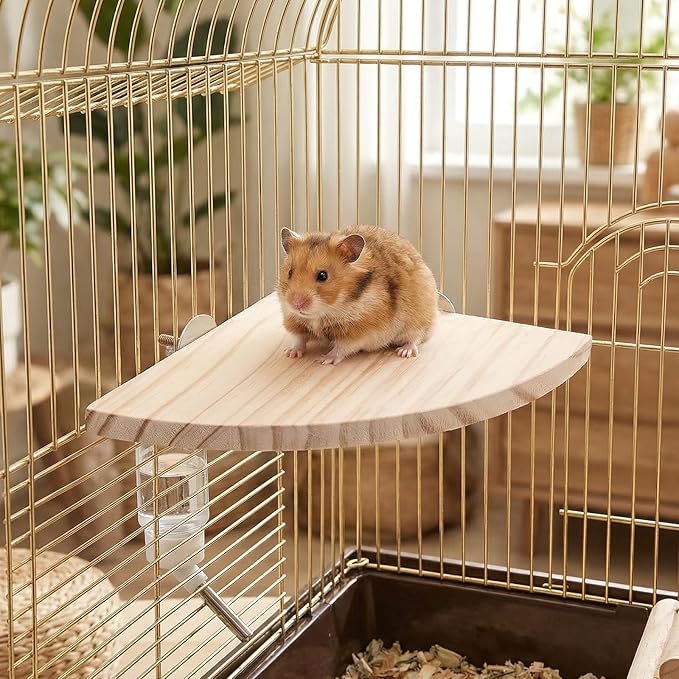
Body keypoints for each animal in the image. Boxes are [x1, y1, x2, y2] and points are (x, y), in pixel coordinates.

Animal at [277, 225, 438, 365]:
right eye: (290, 272)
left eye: (323, 276)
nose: (296, 304)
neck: (324, 312)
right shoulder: (294, 320)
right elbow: (299, 339)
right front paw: (290, 353)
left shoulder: (359, 331)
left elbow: (342, 348)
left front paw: (323, 360)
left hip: (419, 316)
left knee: (417, 336)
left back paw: (404, 351)